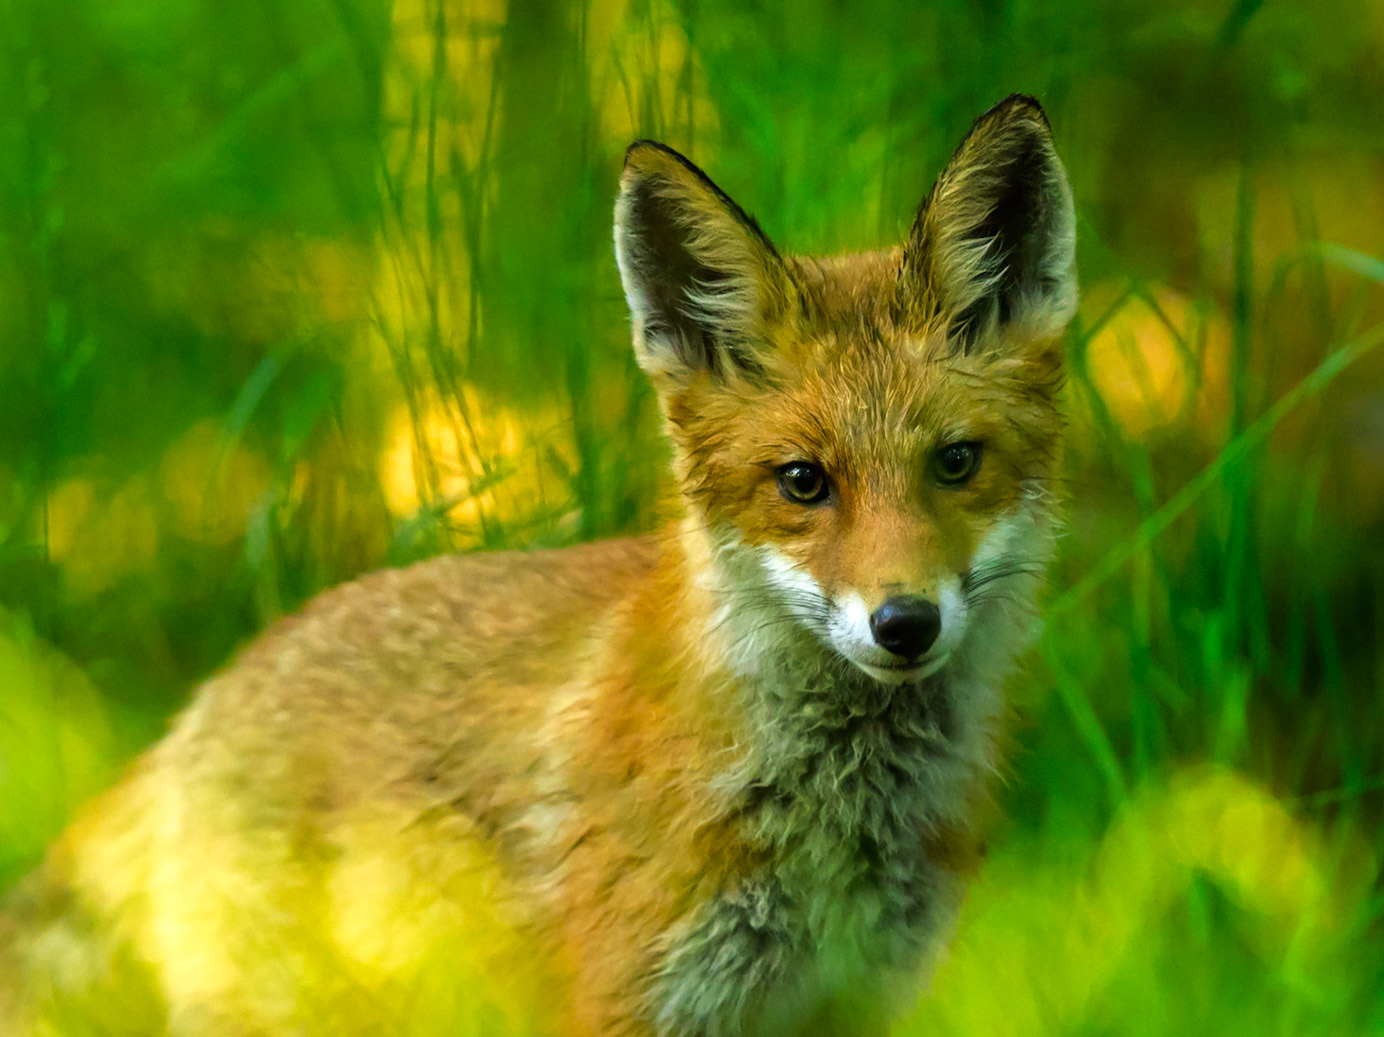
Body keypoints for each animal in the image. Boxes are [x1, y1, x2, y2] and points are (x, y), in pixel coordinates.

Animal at [0, 94, 1076, 1036]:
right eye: (803, 482)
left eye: (956, 462)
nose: (905, 623)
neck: (835, 824)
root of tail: (209, 697)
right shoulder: (631, 997)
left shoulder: (854, 1002)